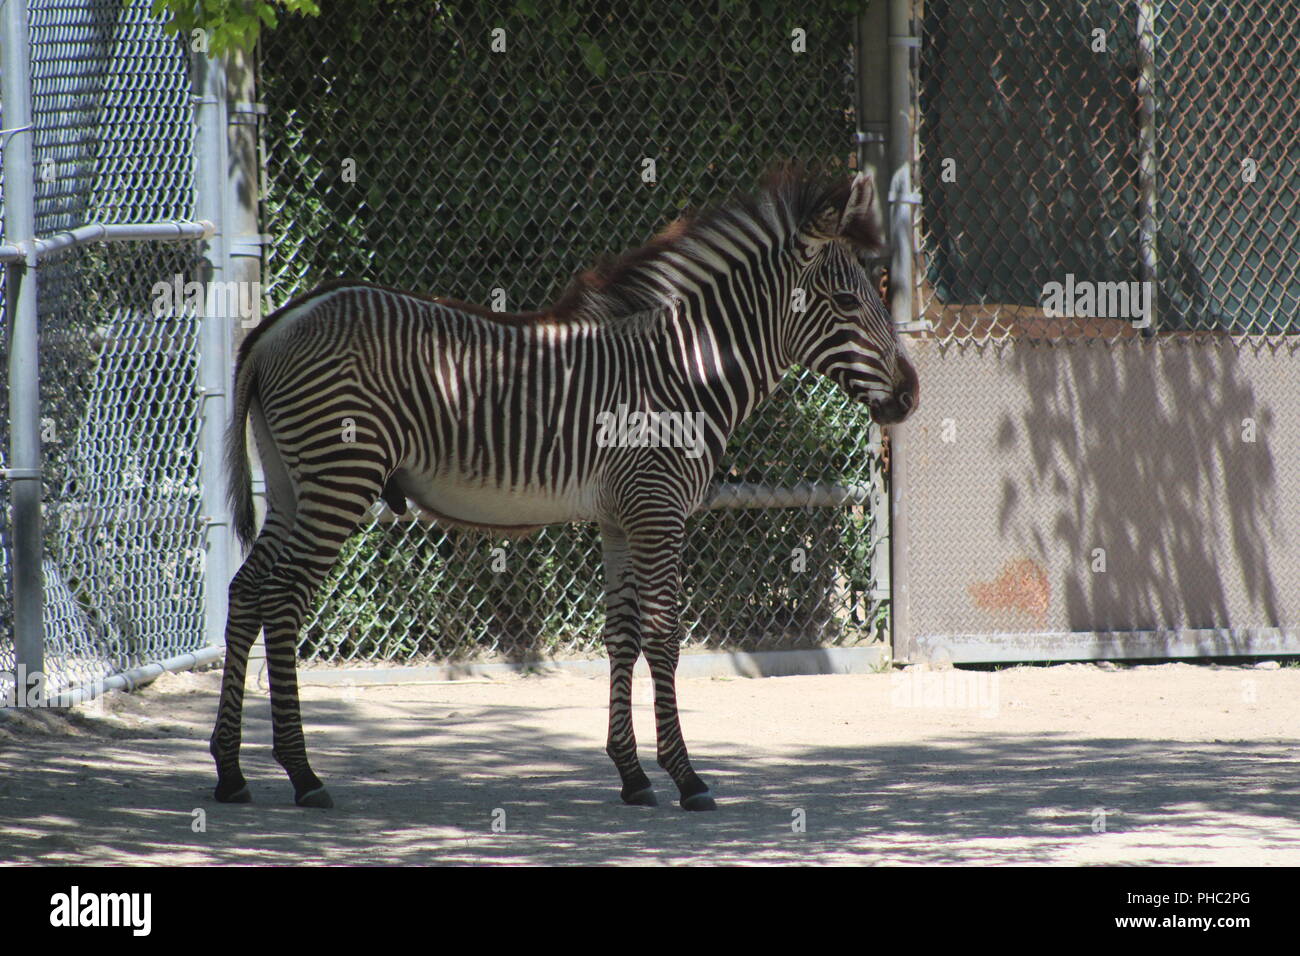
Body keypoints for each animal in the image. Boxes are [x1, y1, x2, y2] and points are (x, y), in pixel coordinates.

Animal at [210, 167, 915, 811]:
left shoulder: (622, 516)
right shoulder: (659, 510)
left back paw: (231, 770)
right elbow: (663, 636)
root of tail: (278, 323)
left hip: (292, 483)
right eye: (848, 304)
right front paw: (686, 778)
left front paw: (631, 775)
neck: (685, 370)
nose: (910, 395)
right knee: (283, 600)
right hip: (339, 477)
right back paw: (301, 773)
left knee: (247, 590)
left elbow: (622, 633)